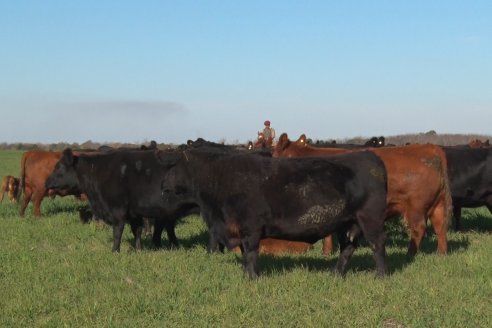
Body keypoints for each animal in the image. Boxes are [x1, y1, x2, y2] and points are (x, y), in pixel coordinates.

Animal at [45, 147, 198, 252]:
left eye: (59, 167)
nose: (47, 182)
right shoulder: (134, 213)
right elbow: (137, 231)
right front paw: (138, 250)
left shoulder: (118, 210)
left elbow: (118, 231)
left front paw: (115, 251)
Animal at [158, 145, 388, 278]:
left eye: (172, 167)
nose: (162, 186)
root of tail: (370, 157)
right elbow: (245, 254)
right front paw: (247, 274)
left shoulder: (250, 227)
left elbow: (251, 253)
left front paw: (252, 277)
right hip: (348, 223)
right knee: (347, 249)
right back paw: (335, 275)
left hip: (370, 219)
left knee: (377, 246)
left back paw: (381, 276)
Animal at [274, 133, 452, 256]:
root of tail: (430, 148)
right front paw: (327, 251)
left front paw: (326, 252)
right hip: (437, 205)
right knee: (440, 227)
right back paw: (441, 254)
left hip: (416, 207)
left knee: (418, 229)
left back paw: (409, 255)